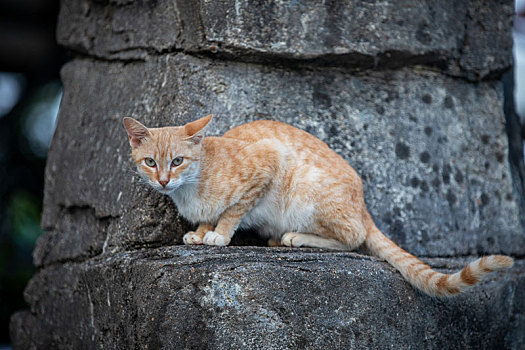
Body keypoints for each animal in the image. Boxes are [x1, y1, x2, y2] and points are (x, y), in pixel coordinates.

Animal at [124, 116, 512, 296]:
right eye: (150, 162)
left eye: (177, 161)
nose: (163, 181)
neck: (193, 184)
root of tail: (363, 204)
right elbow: (210, 216)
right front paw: (201, 232)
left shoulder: (268, 161)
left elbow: (232, 211)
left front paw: (218, 235)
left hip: (308, 192)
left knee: (354, 237)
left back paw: (295, 237)